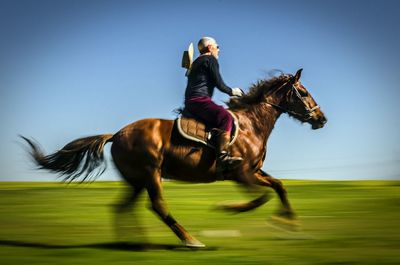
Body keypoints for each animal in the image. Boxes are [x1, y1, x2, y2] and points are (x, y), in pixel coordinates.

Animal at [21, 68, 326, 248]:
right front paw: (229, 208)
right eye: (304, 92)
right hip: (150, 175)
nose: (321, 119)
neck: (251, 124)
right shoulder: (242, 174)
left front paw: (289, 225)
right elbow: (260, 197)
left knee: (121, 207)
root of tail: (117, 134)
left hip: (136, 180)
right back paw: (190, 240)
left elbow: (279, 187)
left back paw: (134, 243)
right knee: (157, 206)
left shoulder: (255, 171)